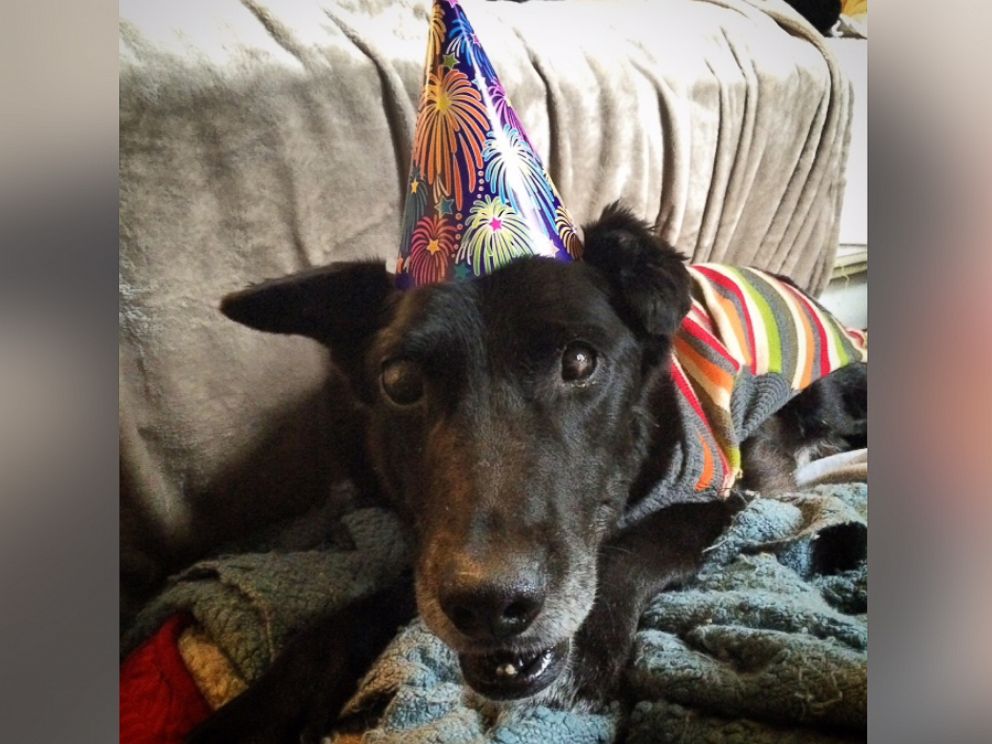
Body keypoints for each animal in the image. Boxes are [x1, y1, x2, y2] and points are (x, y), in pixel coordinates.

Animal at [188, 203, 868, 744]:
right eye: (400, 382)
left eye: (580, 361)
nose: (491, 607)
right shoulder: (438, 554)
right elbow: (361, 611)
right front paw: (258, 711)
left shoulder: (724, 494)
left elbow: (637, 544)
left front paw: (586, 646)